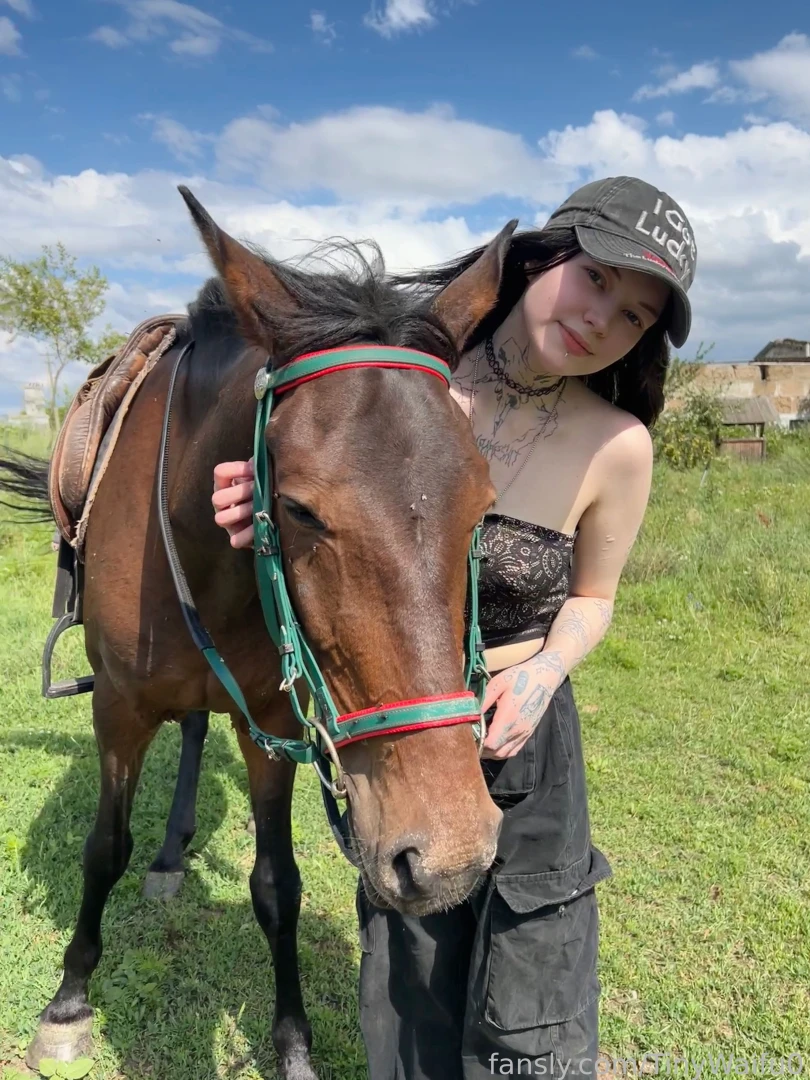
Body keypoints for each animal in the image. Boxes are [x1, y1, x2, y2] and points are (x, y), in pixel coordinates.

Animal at [1, 187, 515, 1078]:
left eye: (482, 508)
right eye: (299, 509)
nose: (452, 855)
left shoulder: (271, 720)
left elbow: (278, 886)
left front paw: (294, 1044)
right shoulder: (117, 711)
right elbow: (103, 847)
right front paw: (67, 1004)